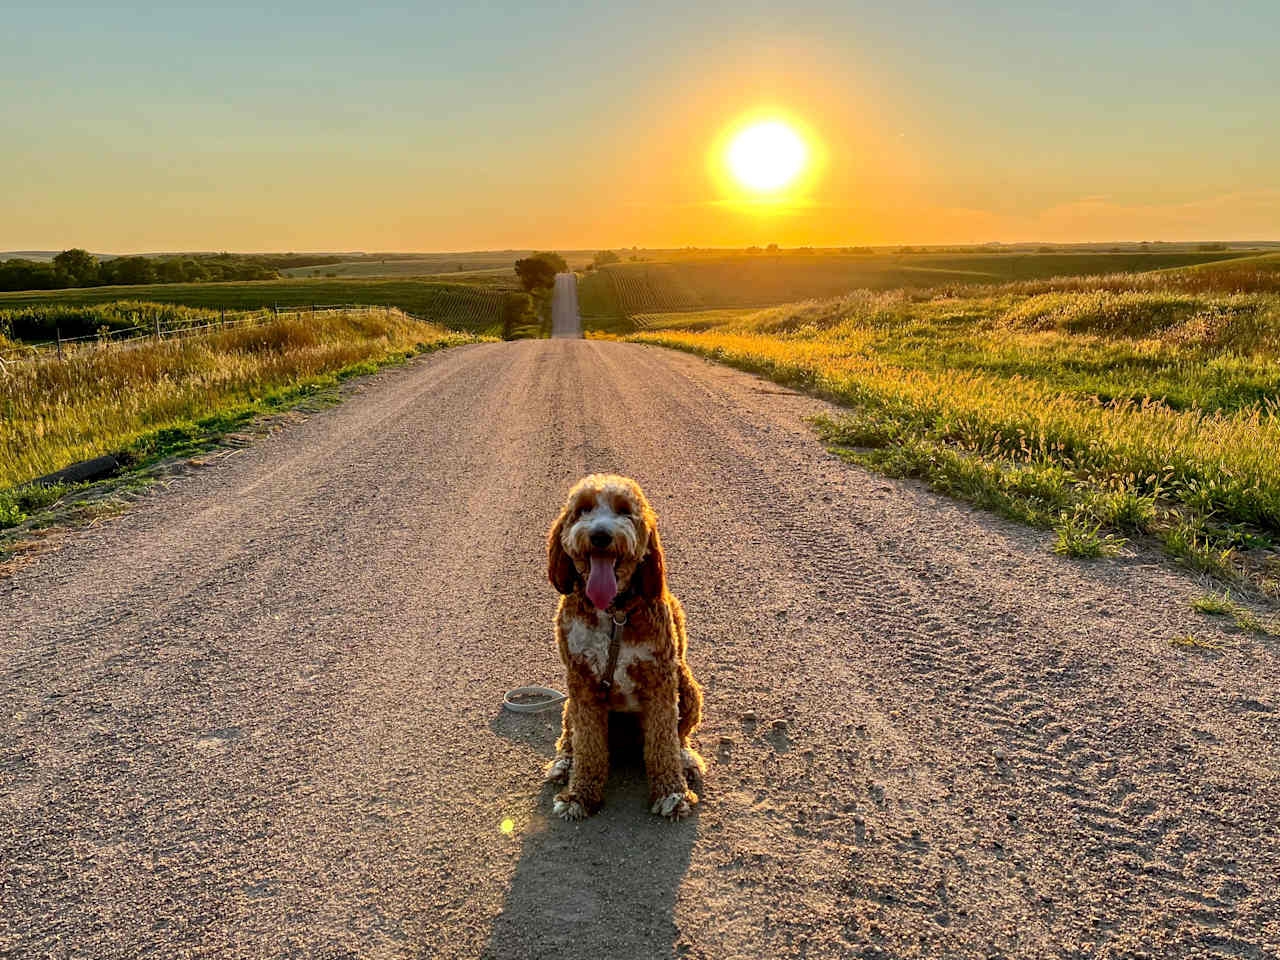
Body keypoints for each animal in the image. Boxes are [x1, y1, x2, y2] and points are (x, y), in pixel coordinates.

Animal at [545, 473, 706, 819]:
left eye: (623, 510)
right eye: (583, 509)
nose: (600, 535)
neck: (614, 612)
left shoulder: (661, 681)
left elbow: (663, 744)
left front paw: (672, 794)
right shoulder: (582, 685)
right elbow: (588, 747)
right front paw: (579, 795)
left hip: (687, 687)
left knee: (679, 736)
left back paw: (686, 759)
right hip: (570, 706)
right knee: (569, 737)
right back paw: (564, 764)